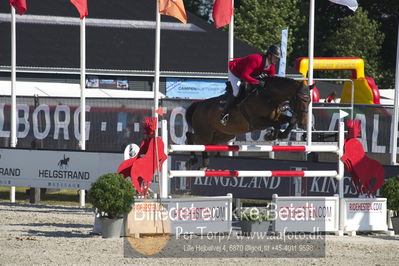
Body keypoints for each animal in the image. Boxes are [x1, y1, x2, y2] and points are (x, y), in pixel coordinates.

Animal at [184, 76, 312, 168]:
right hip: (204, 133)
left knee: (202, 143)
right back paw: (195, 161)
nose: (303, 123)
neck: (268, 97)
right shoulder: (255, 122)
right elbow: (277, 124)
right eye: (301, 99)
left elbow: (290, 121)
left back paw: (201, 162)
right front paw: (270, 136)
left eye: (309, 100)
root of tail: (198, 105)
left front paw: (279, 135)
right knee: (192, 138)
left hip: (222, 135)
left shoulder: (278, 116)